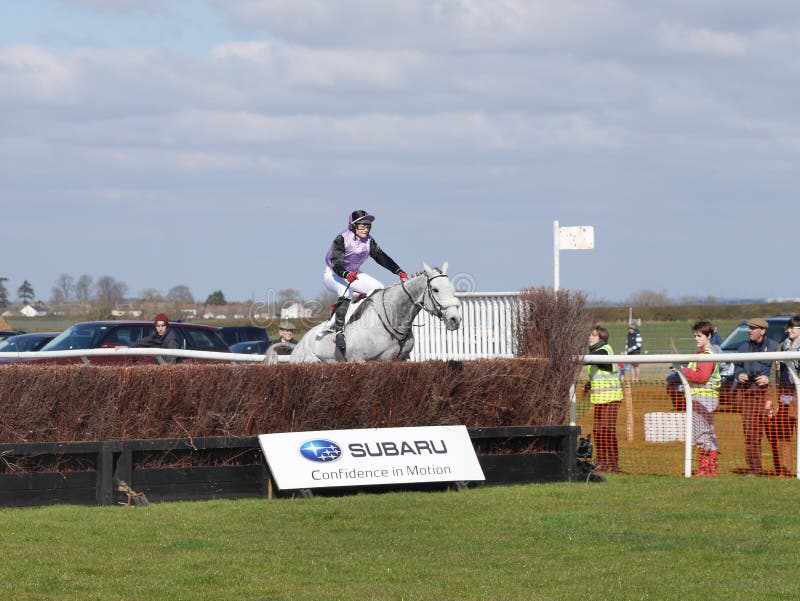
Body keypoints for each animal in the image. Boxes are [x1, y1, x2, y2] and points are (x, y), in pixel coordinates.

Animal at [290, 262, 462, 364]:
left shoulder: (400, 360)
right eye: (435, 289)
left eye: (452, 288)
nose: (455, 319)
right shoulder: (358, 360)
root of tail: (298, 345)